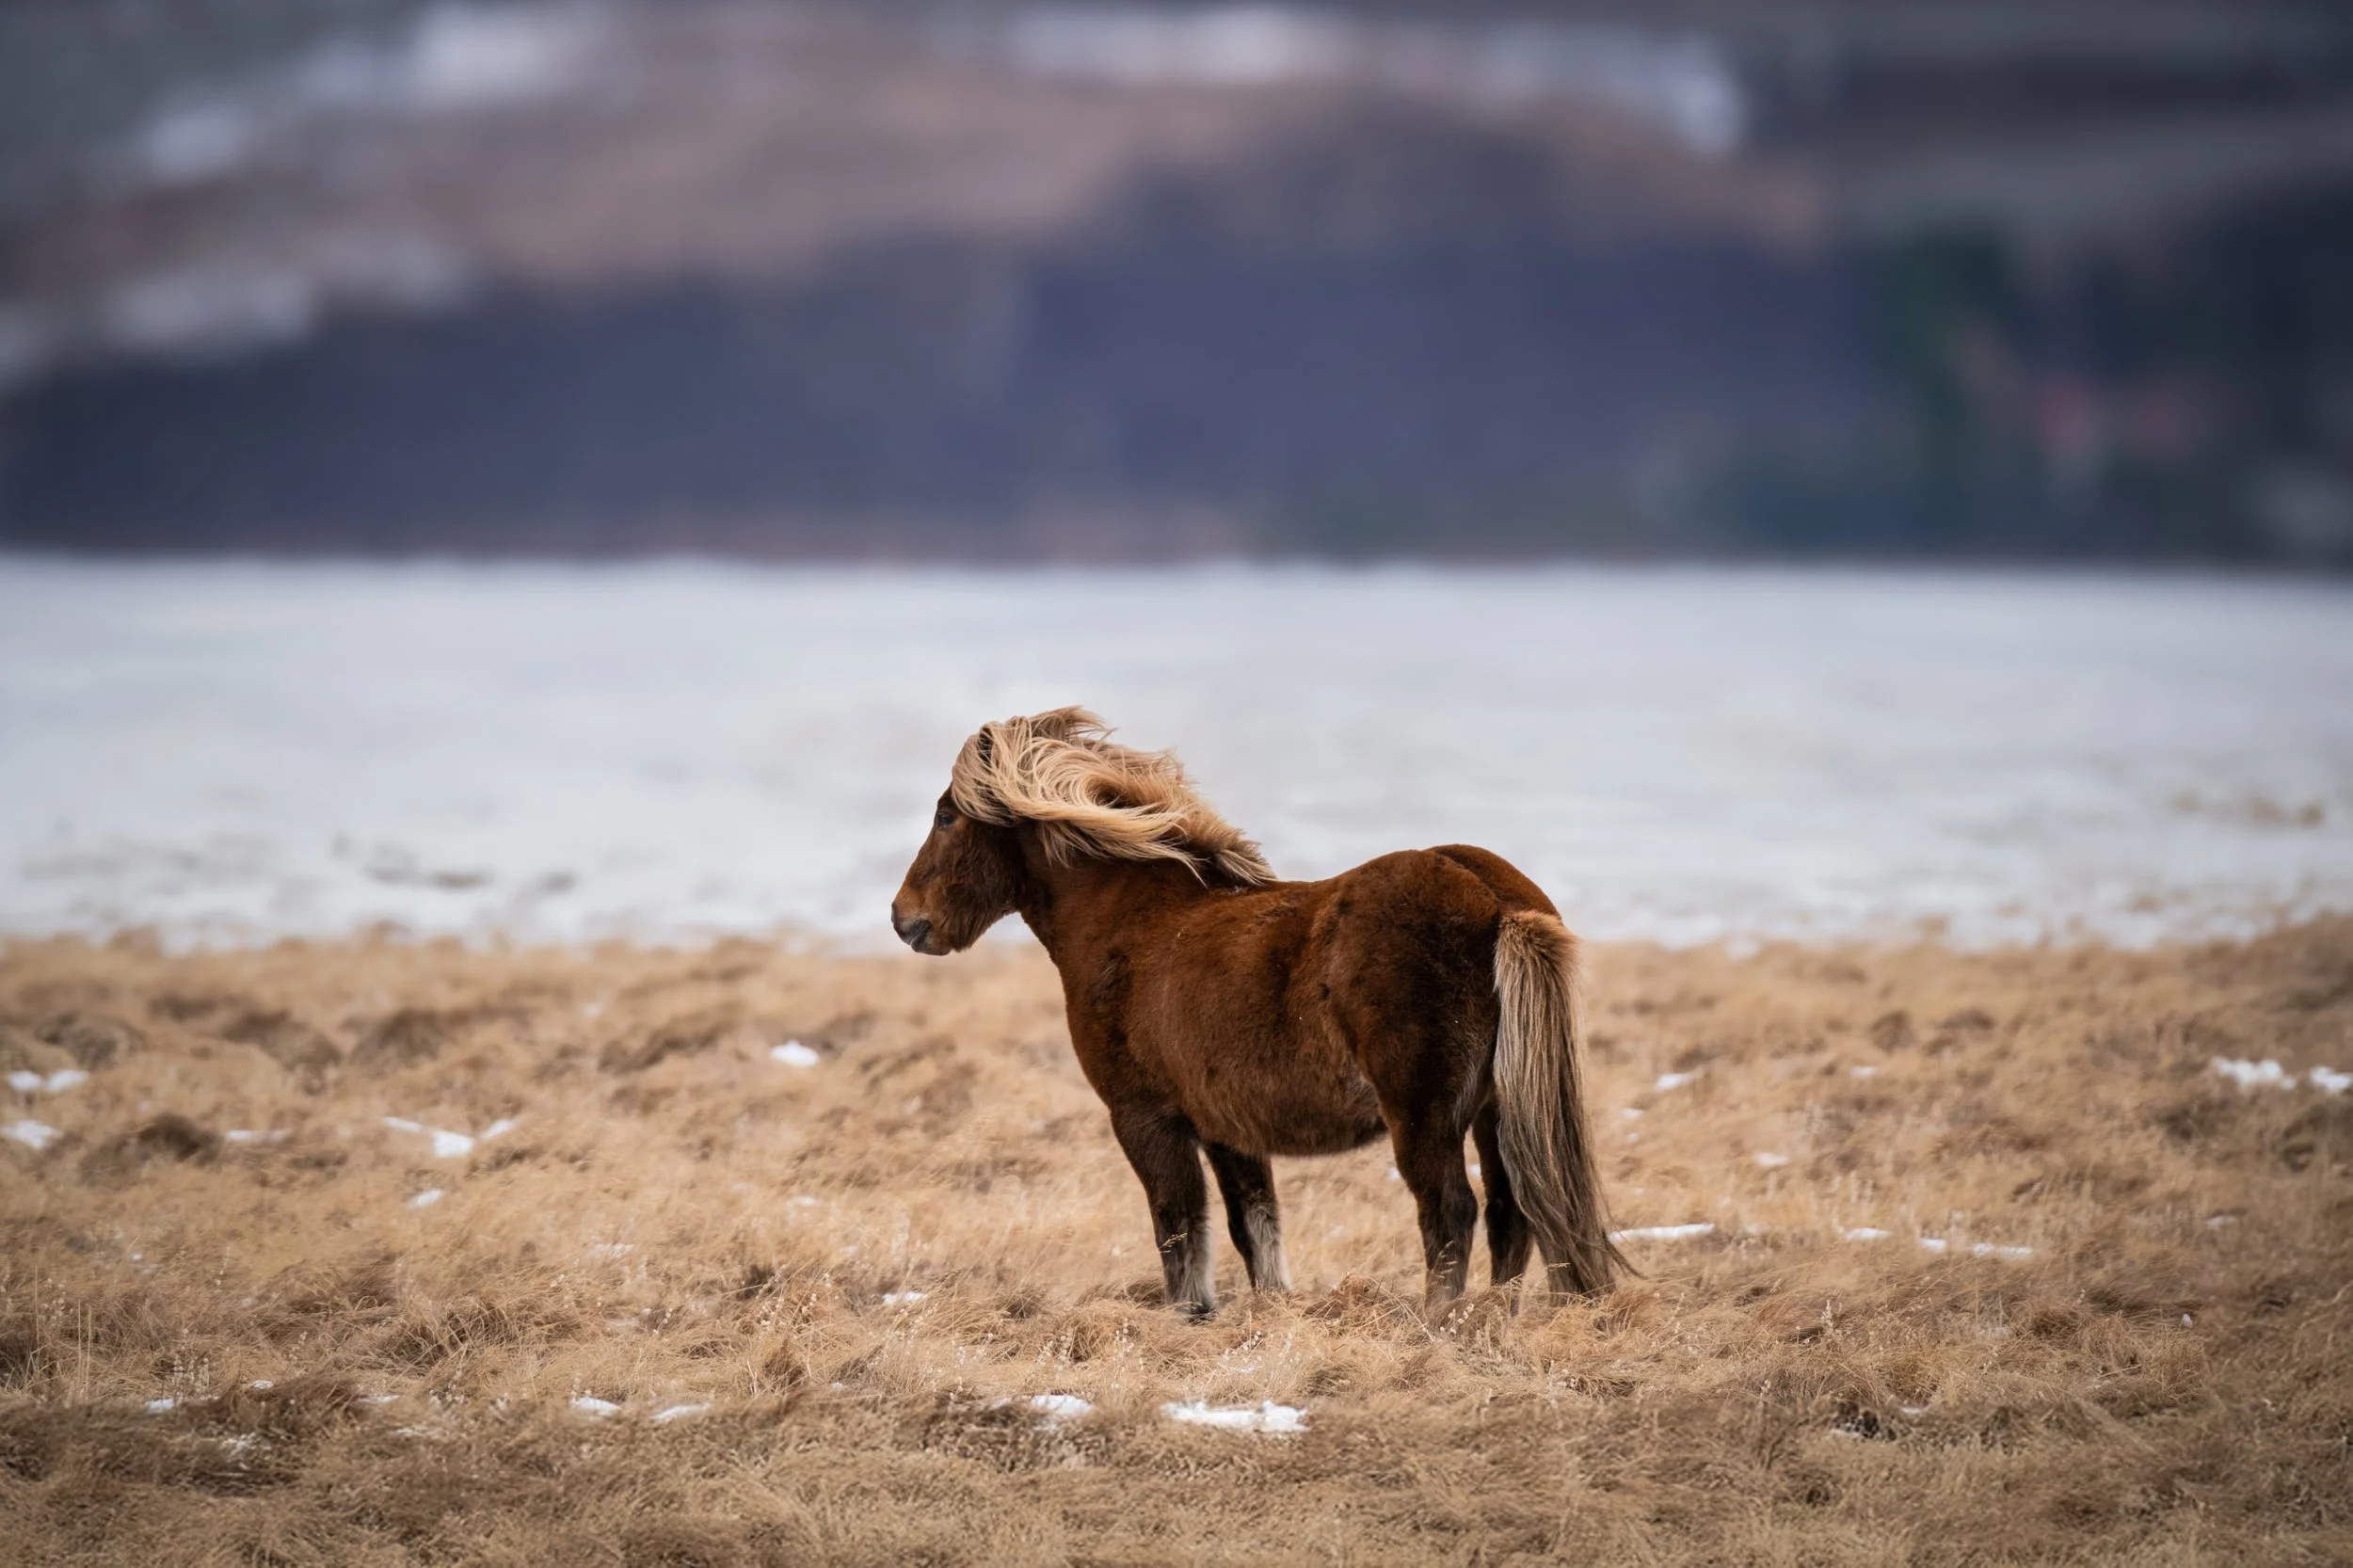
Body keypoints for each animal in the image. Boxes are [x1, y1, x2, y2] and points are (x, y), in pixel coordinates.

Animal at [889, 707, 1623, 1315]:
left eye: (947, 816)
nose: (905, 920)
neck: (1131, 922)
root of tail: (1492, 898)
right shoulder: (1229, 1129)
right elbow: (1255, 1227)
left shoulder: (1145, 1118)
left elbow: (1179, 1228)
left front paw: (1190, 1314)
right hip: (1496, 1109)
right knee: (1510, 1211)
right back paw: (1494, 1317)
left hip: (1425, 1115)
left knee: (1451, 1213)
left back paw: (1439, 1320)